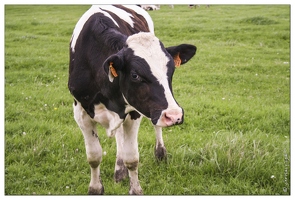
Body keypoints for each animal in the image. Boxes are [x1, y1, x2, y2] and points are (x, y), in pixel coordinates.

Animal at [68, 4, 198, 195]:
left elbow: (132, 158)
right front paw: (95, 189)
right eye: (135, 75)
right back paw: (119, 170)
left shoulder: (135, 111)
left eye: (171, 71)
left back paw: (159, 153)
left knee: (154, 126)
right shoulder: (81, 111)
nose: (174, 115)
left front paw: (135, 190)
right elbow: (94, 156)